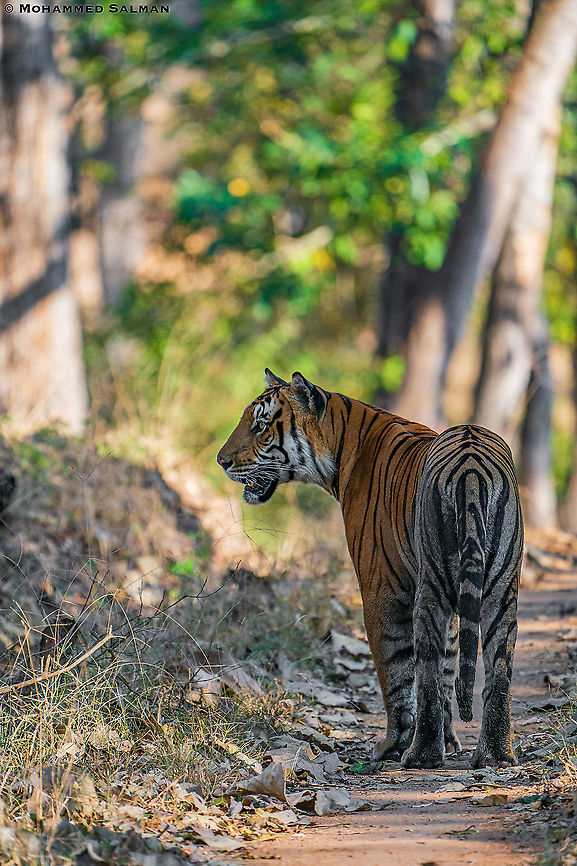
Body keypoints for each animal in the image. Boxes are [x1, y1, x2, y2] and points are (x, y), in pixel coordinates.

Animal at [217, 370, 524, 769]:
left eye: (260, 426)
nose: (221, 461)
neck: (341, 445)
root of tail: (470, 465)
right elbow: (447, 669)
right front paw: (451, 742)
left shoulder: (381, 589)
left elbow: (397, 674)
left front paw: (394, 745)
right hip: (502, 589)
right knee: (498, 671)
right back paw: (495, 754)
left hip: (430, 588)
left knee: (424, 673)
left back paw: (420, 755)